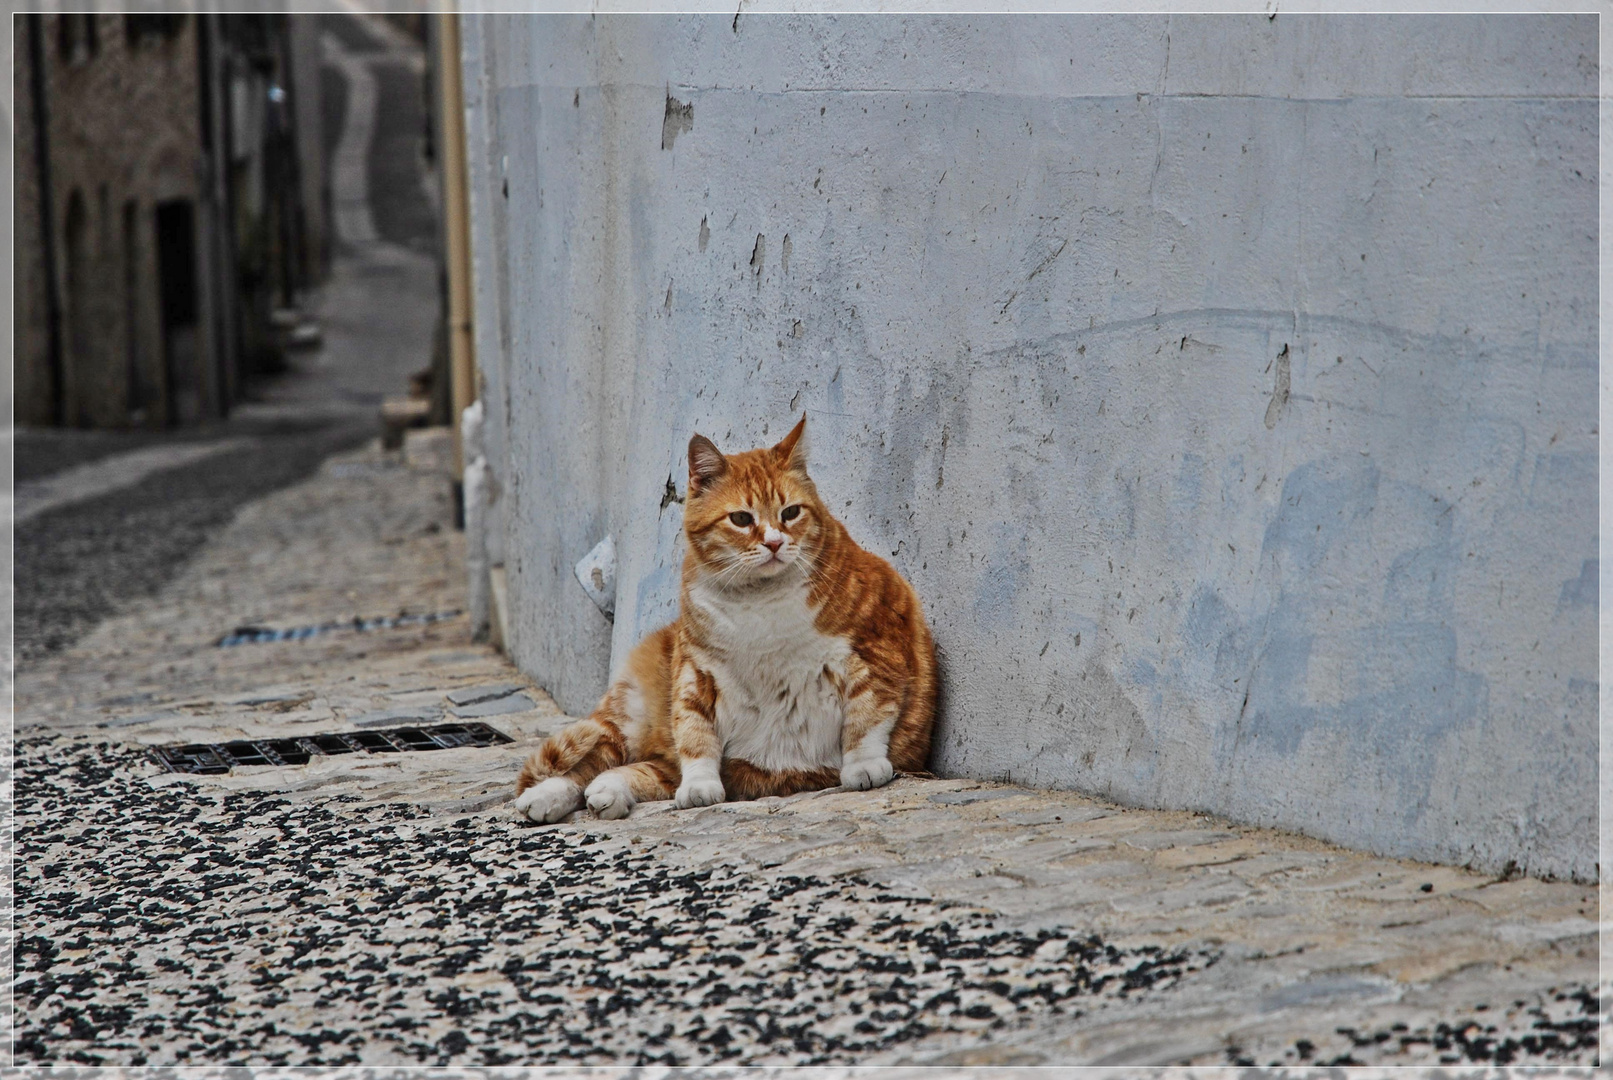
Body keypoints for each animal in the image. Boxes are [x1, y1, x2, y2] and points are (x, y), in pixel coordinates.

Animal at [516, 419, 941, 825]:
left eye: (791, 513)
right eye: (740, 518)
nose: (774, 543)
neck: (760, 601)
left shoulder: (876, 650)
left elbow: (867, 715)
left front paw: (863, 765)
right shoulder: (695, 672)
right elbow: (695, 734)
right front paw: (700, 785)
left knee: (631, 770)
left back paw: (607, 793)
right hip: (625, 721)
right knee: (590, 765)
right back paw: (546, 796)